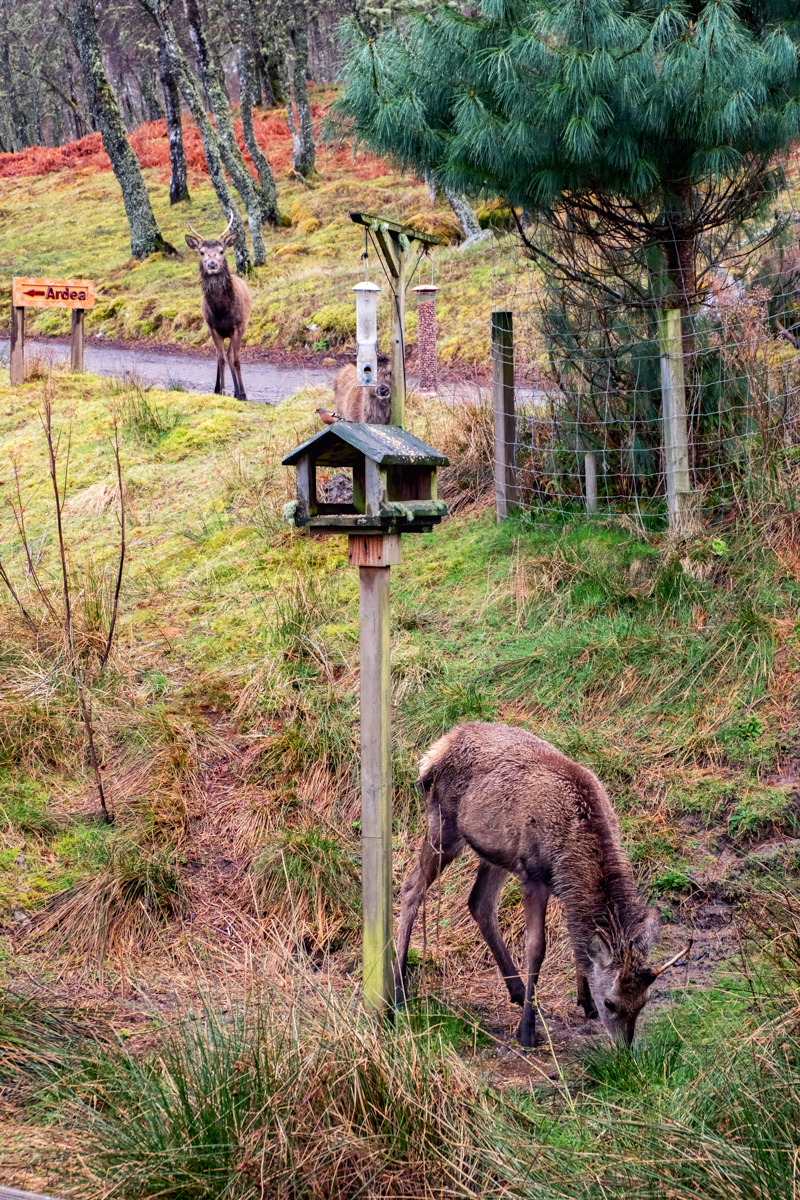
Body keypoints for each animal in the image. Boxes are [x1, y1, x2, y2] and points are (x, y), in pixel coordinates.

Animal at [185, 214, 252, 402]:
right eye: (201, 252)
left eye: (221, 251)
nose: (212, 264)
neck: (222, 311)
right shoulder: (213, 327)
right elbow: (221, 359)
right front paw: (222, 390)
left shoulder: (237, 326)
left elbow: (235, 360)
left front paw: (242, 393)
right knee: (220, 355)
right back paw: (218, 388)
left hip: (242, 327)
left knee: (231, 356)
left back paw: (237, 391)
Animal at [394, 722, 692, 1048]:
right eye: (611, 1003)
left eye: (643, 1002)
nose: (625, 1048)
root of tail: (436, 750)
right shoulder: (533, 877)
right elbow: (536, 948)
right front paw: (527, 1031)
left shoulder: (561, 885)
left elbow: (578, 941)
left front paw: (585, 1002)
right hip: (444, 824)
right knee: (411, 886)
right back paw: (398, 989)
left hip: (496, 852)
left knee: (479, 903)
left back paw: (518, 991)